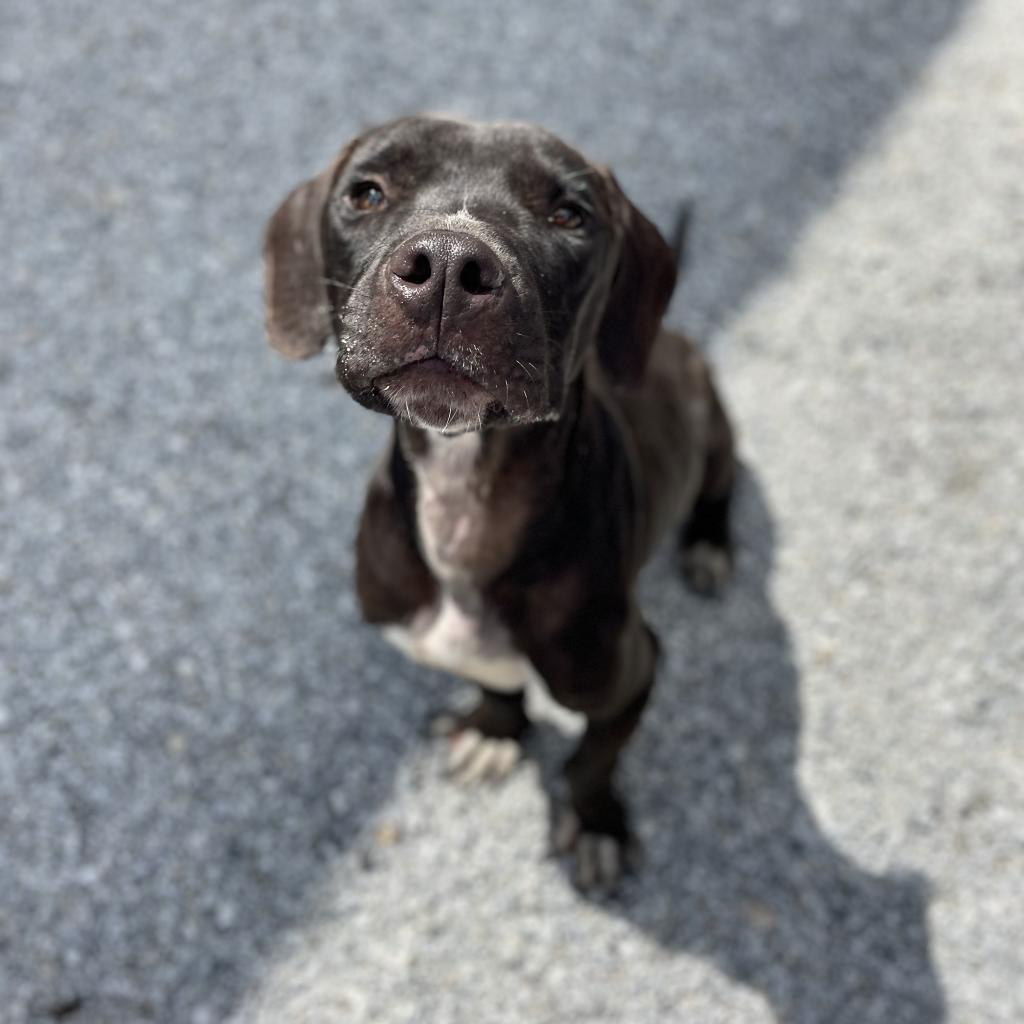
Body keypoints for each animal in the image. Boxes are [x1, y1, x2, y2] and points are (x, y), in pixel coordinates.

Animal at [260, 114, 733, 888]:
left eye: (569, 214)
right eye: (367, 192)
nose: (450, 266)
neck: (466, 501)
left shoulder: (632, 671)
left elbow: (591, 762)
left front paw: (596, 824)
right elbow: (493, 682)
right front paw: (494, 729)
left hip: (715, 424)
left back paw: (711, 545)